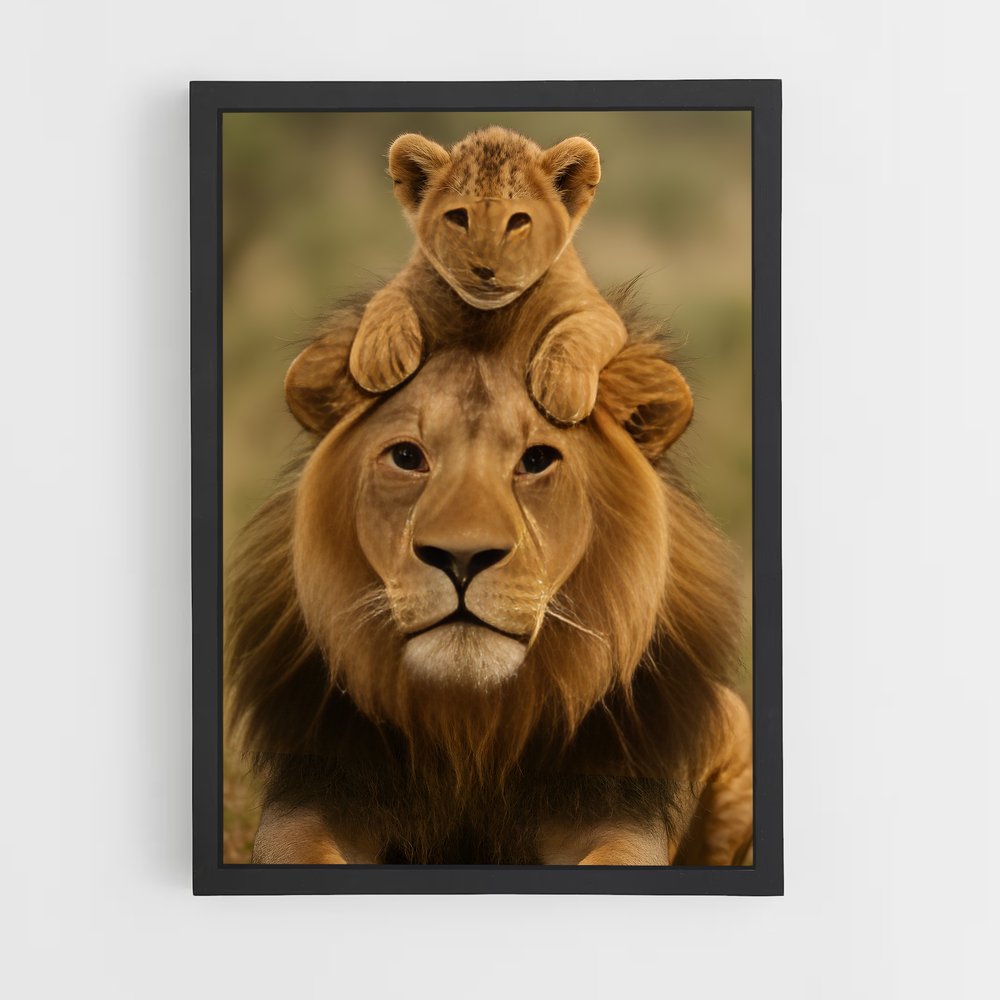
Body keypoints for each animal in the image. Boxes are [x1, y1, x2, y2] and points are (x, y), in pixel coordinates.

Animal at [226, 294, 752, 866]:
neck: (471, 728)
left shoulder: (623, 814)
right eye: (407, 457)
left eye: (537, 460)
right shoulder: (308, 798)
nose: (462, 556)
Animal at [348, 126, 628, 425]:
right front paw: (381, 354)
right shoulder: (415, 277)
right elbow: (388, 297)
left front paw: (564, 390)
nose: (484, 268)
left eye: (518, 221)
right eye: (459, 217)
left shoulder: (595, 308)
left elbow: (581, 331)